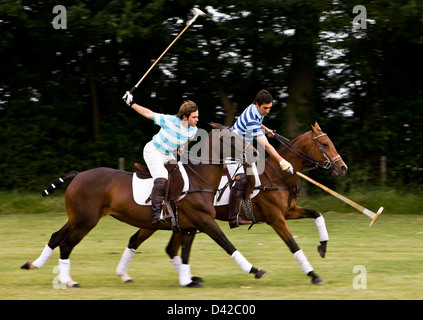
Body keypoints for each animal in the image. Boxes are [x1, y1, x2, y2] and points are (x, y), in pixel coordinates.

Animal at [21, 123, 266, 288]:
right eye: (232, 138)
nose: (254, 153)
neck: (199, 179)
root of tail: (78, 175)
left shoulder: (189, 226)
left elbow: (184, 253)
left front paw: (187, 280)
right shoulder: (204, 221)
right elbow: (227, 244)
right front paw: (255, 269)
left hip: (77, 218)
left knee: (56, 236)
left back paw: (35, 264)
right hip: (86, 221)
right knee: (66, 244)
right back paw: (68, 280)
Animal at [116, 120, 348, 284]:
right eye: (325, 144)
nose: (342, 167)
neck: (277, 176)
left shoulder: (289, 211)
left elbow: (317, 214)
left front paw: (323, 247)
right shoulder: (276, 218)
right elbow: (293, 245)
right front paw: (313, 274)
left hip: (179, 222)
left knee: (164, 247)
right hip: (163, 221)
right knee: (140, 241)